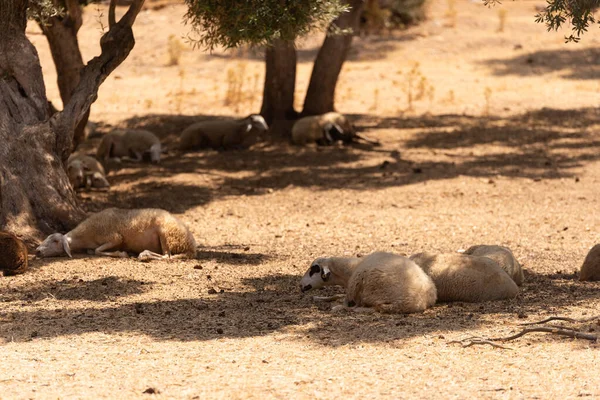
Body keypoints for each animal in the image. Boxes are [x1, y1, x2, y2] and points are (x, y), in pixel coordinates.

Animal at [35, 208, 197, 260]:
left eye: (55, 241)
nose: (37, 251)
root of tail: (192, 246)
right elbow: (92, 251)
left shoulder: (115, 237)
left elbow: (97, 250)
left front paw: (122, 253)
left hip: (166, 234)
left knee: (166, 256)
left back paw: (143, 255)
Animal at [298, 252, 436, 314]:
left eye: (314, 269)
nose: (300, 285)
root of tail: (417, 302)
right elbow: (337, 295)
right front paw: (317, 298)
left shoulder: (353, 288)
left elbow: (345, 301)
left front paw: (335, 305)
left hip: (371, 290)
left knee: (371, 307)